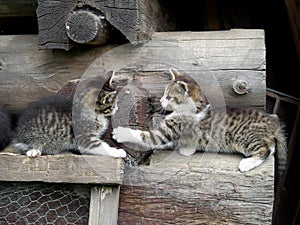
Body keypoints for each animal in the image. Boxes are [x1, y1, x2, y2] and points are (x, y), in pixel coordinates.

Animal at [113, 68, 288, 176]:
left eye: (169, 96)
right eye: (164, 94)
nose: (161, 101)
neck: (194, 108)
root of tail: (272, 122)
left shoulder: (169, 131)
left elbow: (146, 136)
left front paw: (121, 133)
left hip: (244, 138)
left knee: (266, 149)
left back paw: (246, 163)